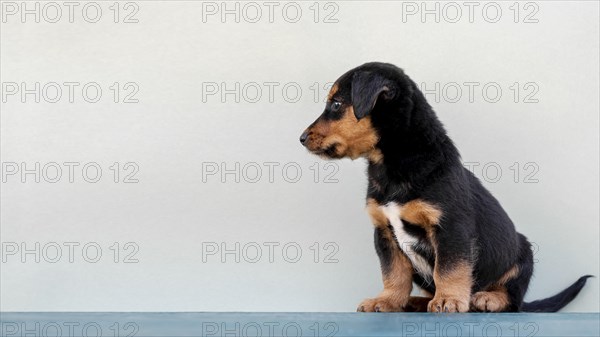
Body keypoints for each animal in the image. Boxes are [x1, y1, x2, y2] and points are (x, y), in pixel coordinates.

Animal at [300, 61, 592, 312]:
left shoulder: (450, 228)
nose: (301, 138)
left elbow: (448, 269)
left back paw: (486, 299)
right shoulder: (384, 232)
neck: (391, 165)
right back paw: (416, 302)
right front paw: (387, 301)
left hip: (523, 254)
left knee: (513, 299)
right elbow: (394, 273)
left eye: (336, 104)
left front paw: (448, 300)